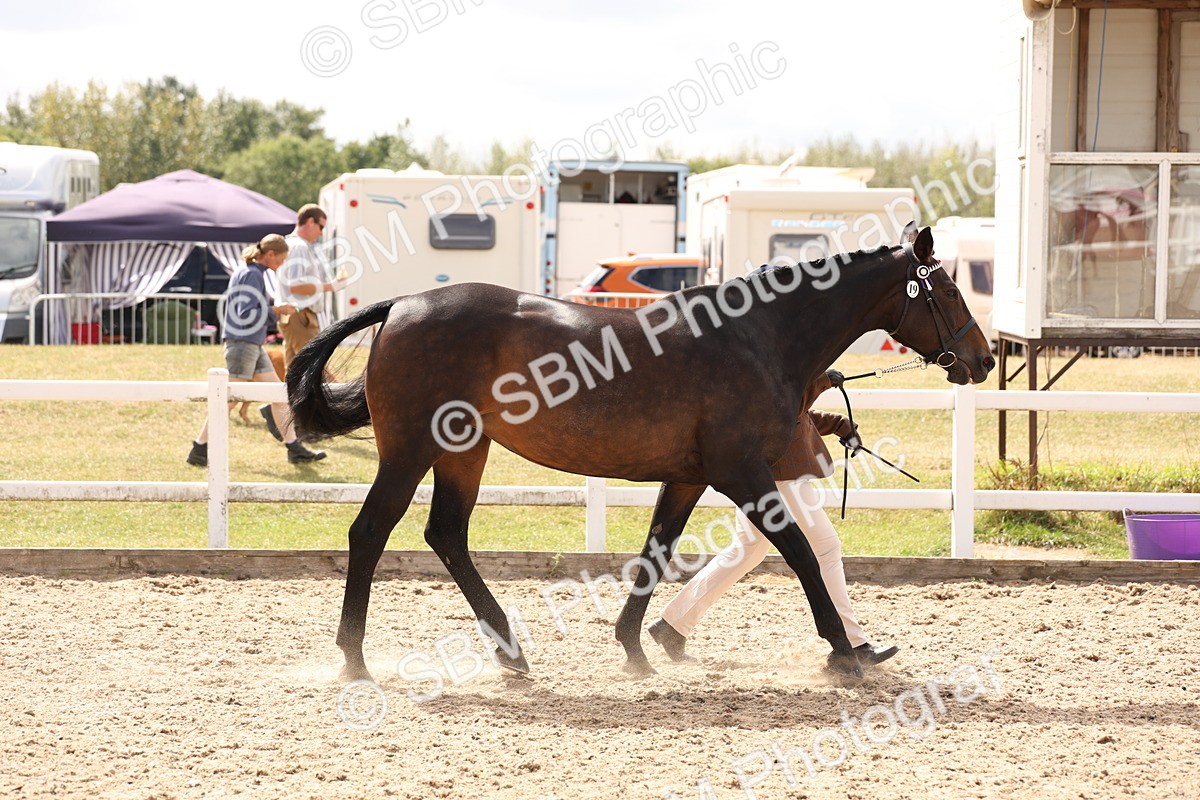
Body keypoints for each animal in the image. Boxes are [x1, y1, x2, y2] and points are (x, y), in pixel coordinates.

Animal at [287, 223, 994, 682]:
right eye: (949, 292)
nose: (985, 359)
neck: (757, 335)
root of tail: (402, 305)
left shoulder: (690, 477)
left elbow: (656, 551)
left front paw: (635, 648)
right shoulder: (742, 472)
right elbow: (798, 552)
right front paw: (843, 649)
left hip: (464, 450)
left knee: (447, 536)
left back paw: (511, 654)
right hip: (411, 451)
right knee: (370, 531)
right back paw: (354, 660)